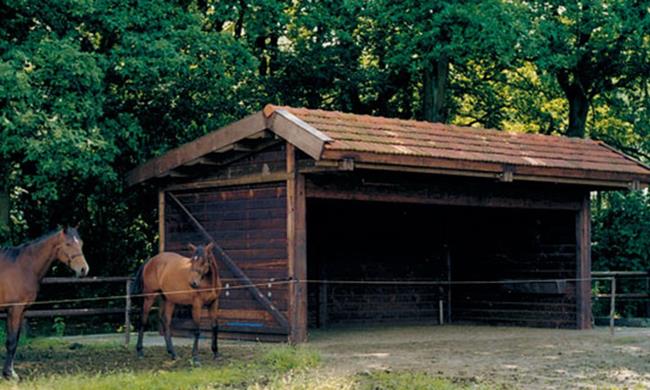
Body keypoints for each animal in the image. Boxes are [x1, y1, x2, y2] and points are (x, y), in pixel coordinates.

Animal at [0, 227, 88, 380]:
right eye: (68, 244)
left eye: (81, 243)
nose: (84, 269)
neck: (23, 266)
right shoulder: (14, 309)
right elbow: (11, 341)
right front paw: (10, 374)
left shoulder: (20, 311)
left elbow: (14, 340)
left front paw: (8, 372)